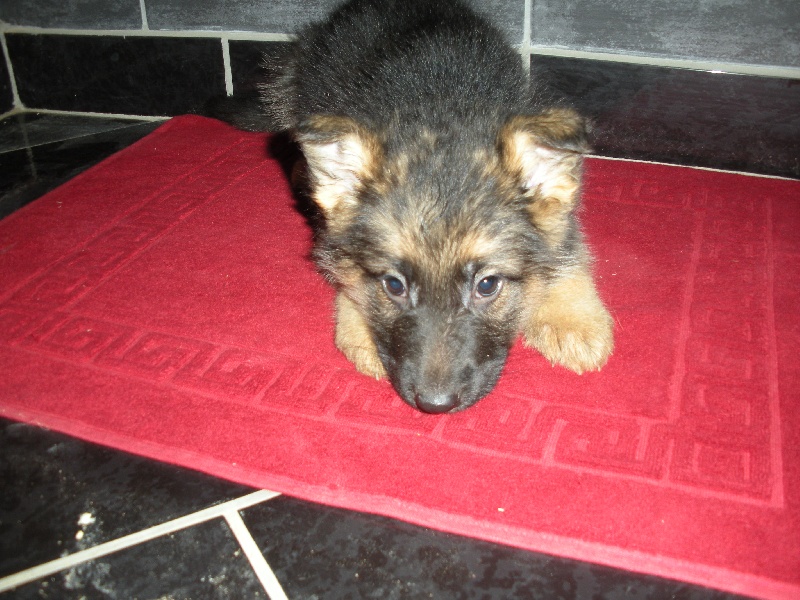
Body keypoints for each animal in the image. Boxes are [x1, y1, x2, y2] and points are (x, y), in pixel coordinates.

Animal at [215, 0, 614, 413]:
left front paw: (571, 317)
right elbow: (347, 274)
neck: (440, 108)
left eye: (487, 285)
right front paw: (359, 327)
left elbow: (569, 252)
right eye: (394, 285)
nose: (435, 404)